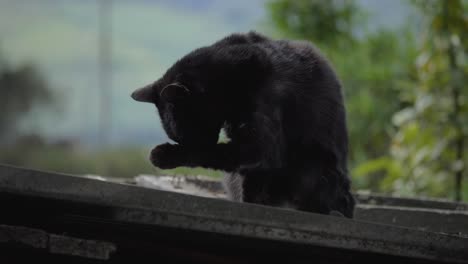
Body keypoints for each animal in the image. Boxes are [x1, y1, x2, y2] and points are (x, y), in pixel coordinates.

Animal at [131, 31, 354, 218]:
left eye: (186, 133)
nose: (188, 143)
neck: (230, 77)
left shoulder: (262, 145)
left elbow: (211, 153)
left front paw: (164, 154)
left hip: (314, 165)